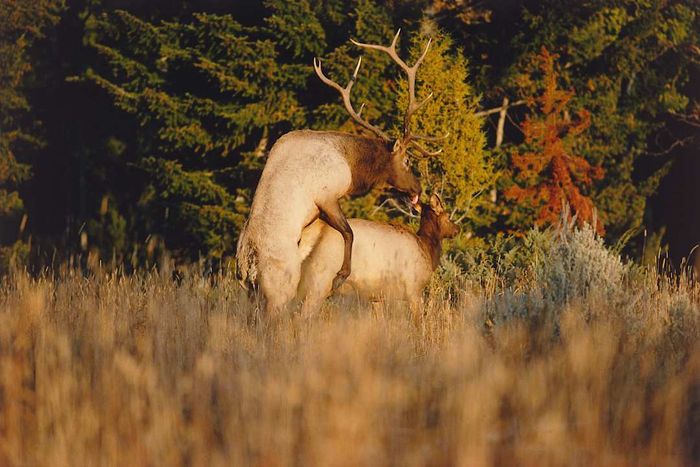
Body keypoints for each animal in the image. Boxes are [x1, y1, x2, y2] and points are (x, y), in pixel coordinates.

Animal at [236, 30, 441, 315]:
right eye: (408, 160)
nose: (418, 190)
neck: (351, 163)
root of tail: (248, 267)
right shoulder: (327, 194)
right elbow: (348, 232)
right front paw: (341, 276)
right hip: (280, 285)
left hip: (249, 292)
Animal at [296, 194, 459, 313]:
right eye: (448, 216)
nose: (457, 229)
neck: (427, 249)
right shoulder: (414, 289)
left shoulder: (377, 297)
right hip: (319, 281)